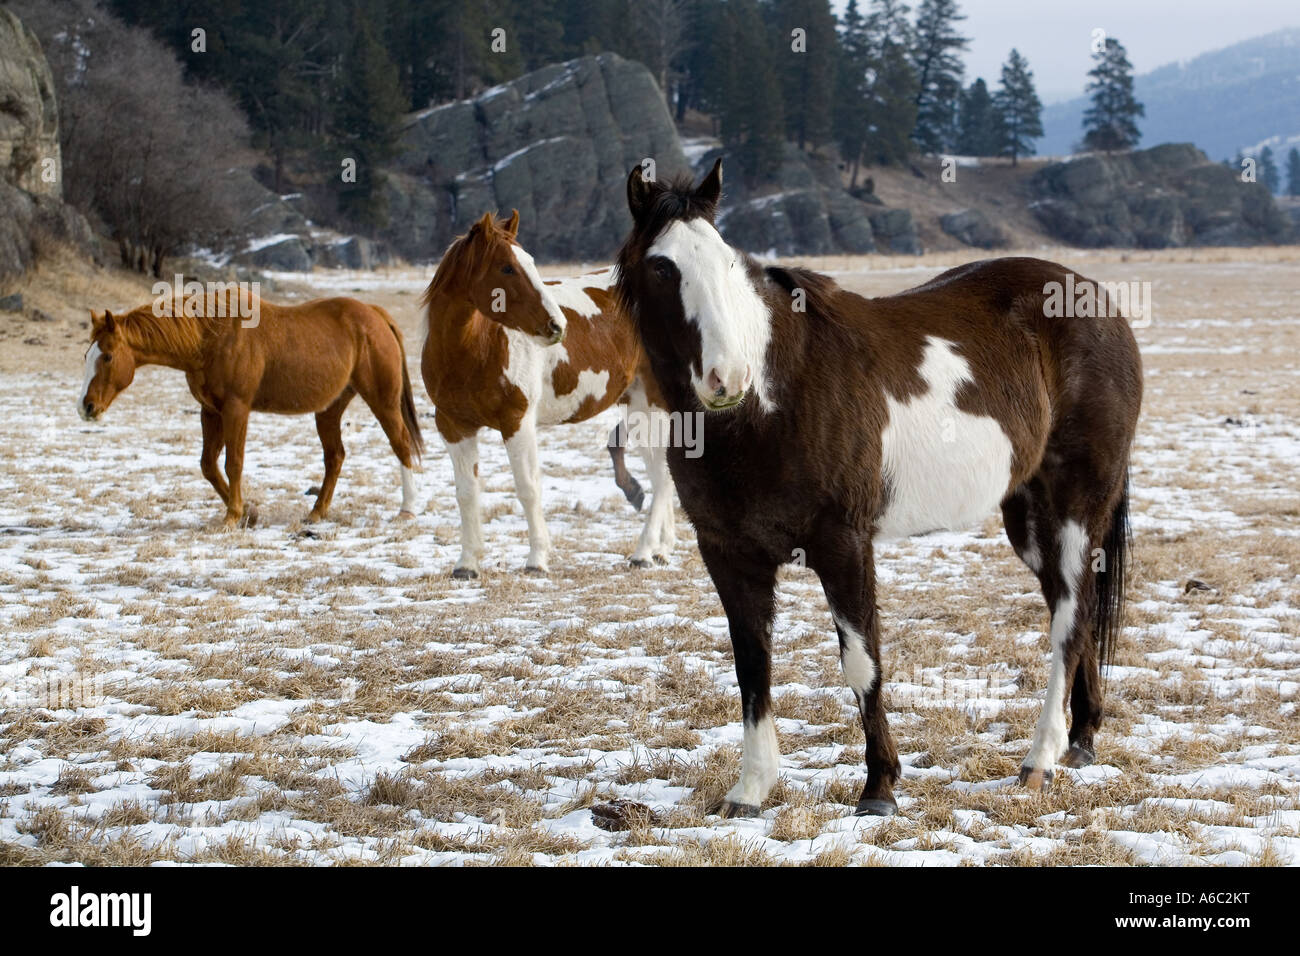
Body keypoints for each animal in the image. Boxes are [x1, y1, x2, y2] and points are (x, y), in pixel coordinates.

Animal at [78, 290, 424, 528]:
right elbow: (208, 465)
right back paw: (316, 513)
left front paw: (232, 516)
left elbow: (233, 463)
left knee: (401, 444)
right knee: (335, 457)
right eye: (86, 355)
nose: (86, 407)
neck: (210, 337)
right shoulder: (211, 412)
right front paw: (250, 513)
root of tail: (375, 316)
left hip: (383, 400)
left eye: (107, 356)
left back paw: (407, 510)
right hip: (329, 409)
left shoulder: (236, 409)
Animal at [420, 210, 675, 578]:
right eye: (506, 268)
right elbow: (466, 492)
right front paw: (467, 563)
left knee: (664, 477)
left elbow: (528, 488)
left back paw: (643, 552)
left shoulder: (517, 423)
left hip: (656, 404)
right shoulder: (454, 427)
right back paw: (662, 548)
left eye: (530, 262)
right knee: (659, 471)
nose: (557, 326)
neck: (476, 349)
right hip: (637, 406)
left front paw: (537, 558)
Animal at [615, 159, 1142, 817]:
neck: (769, 403)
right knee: (1079, 609)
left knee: (1069, 621)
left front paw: (879, 787)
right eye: (663, 267)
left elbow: (862, 664)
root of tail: (1096, 302)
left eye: (728, 262)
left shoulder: (844, 546)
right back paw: (1082, 739)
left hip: (1075, 508)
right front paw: (751, 790)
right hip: (1030, 518)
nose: (726, 377)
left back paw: (1039, 759)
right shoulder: (729, 555)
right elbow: (752, 666)